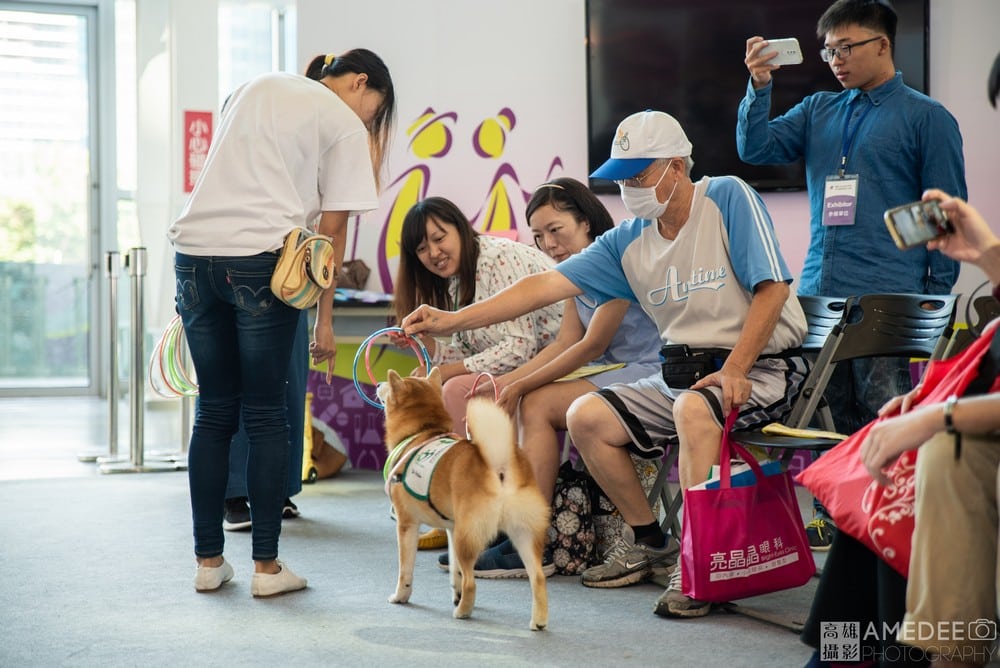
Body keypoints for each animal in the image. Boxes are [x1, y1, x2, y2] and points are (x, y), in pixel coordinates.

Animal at [376, 368, 552, 628]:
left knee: (471, 582)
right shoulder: (451, 528)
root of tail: (499, 465)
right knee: (538, 578)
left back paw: (462, 612)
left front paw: (401, 596)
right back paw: (537, 622)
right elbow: (455, 571)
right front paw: (455, 593)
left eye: (387, 386)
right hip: (521, 534)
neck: (422, 432)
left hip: (468, 537)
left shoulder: (407, 524)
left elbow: (405, 570)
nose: (377, 383)